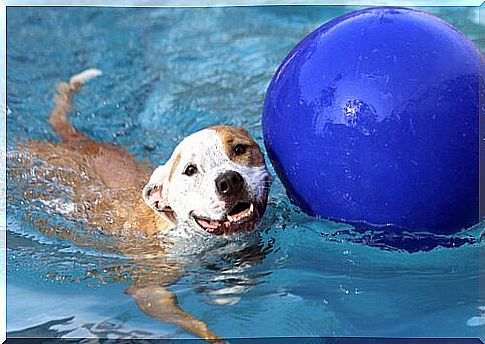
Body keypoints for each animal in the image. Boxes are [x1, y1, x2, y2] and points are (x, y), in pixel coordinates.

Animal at [13, 69, 272, 342]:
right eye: (190, 170)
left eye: (239, 149)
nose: (229, 180)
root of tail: (75, 141)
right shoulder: (150, 291)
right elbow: (188, 318)